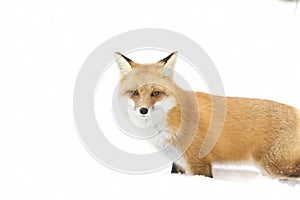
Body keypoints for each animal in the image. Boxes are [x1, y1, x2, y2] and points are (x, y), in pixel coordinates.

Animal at [114, 51, 300, 178]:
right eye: (135, 93)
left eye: (156, 93)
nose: (143, 110)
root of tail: (295, 109)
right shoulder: (179, 162)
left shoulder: (198, 161)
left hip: (276, 165)